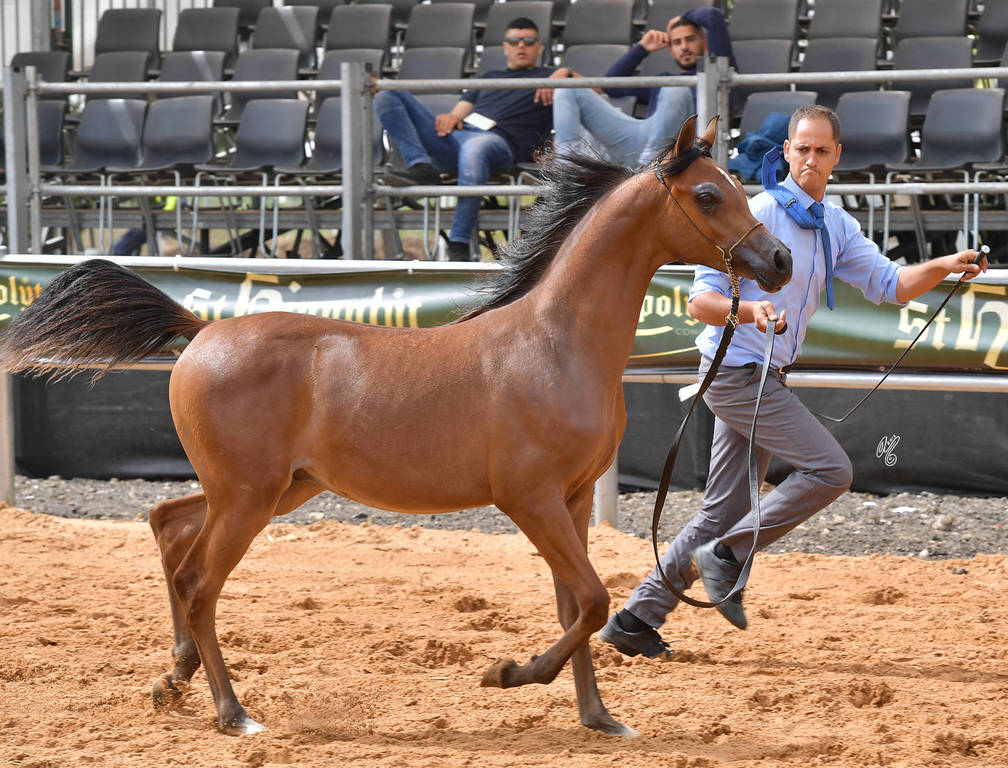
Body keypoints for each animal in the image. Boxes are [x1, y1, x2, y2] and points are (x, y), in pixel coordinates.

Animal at [0, 115, 791, 739]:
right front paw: (506, 673)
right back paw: (233, 713)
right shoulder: (529, 500)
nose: (778, 260)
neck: (555, 344)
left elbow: (578, 602)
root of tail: (200, 333)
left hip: (271, 488)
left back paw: (174, 678)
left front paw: (600, 719)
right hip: (249, 496)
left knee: (167, 523)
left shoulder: (570, 502)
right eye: (709, 194)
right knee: (199, 583)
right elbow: (592, 600)